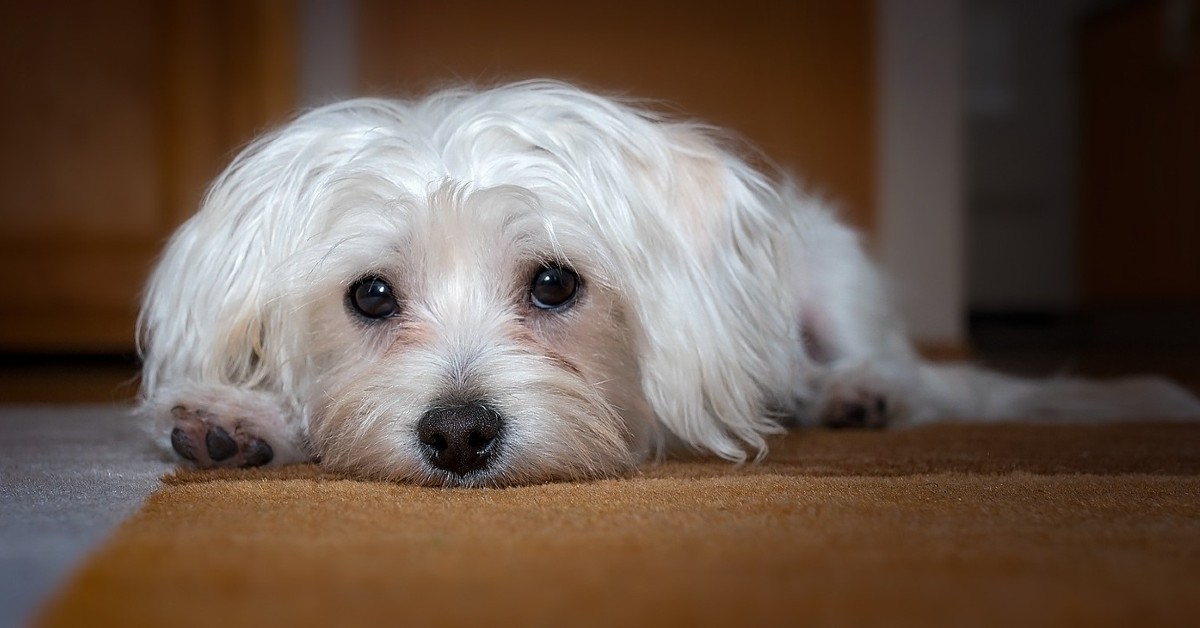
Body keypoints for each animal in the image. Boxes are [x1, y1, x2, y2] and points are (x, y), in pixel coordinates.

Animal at [138, 81, 1200, 489]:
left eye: (554, 284)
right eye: (369, 296)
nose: (459, 436)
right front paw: (238, 416)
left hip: (833, 272)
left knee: (888, 364)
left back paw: (856, 391)